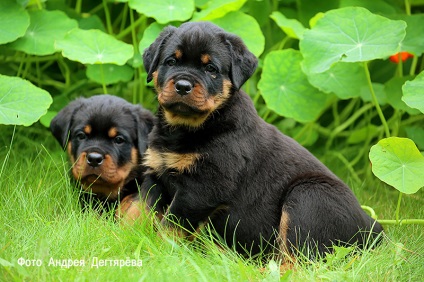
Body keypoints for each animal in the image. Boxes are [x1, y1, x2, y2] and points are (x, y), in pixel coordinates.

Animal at [140, 22, 384, 258]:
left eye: (211, 69)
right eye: (171, 61)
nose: (183, 86)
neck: (186, 127)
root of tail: (373, 227)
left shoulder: (202, 187)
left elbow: (171, 224)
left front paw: (157, 252)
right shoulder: (155, 171)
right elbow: (140, 207)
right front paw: (134, 237)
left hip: (308, 197)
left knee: (300, 259)